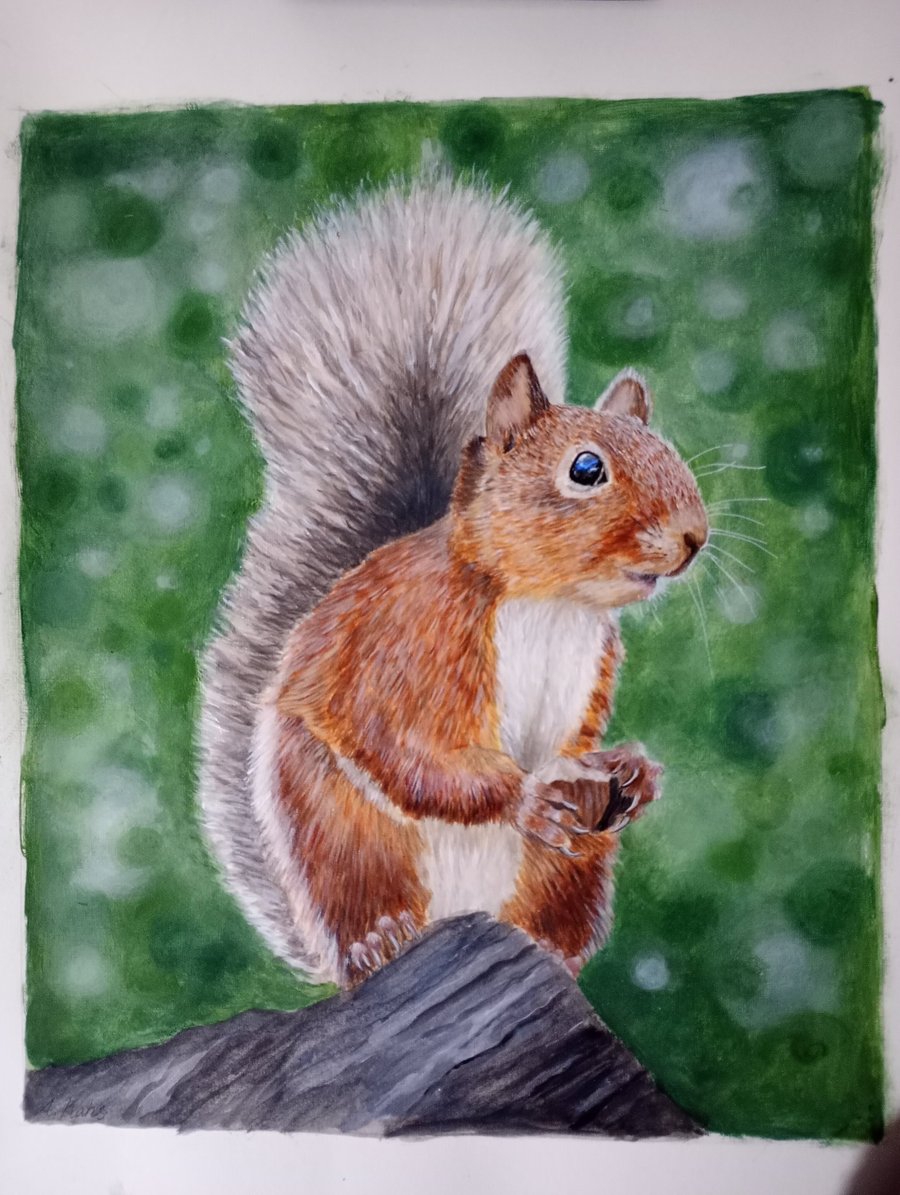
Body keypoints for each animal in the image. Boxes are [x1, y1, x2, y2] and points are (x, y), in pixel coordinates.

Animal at [199, 175, 708, 988]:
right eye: (586, 468)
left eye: (670, 452)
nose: (695, 535)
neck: (550, 604)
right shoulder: (412, 640)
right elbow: (407, 748)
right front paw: (528, 794)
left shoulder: (592, 665)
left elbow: (577, 739)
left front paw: (632, 767)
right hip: (346, 840)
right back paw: (376, 943)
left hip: (569, 871)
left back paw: (553, 952)